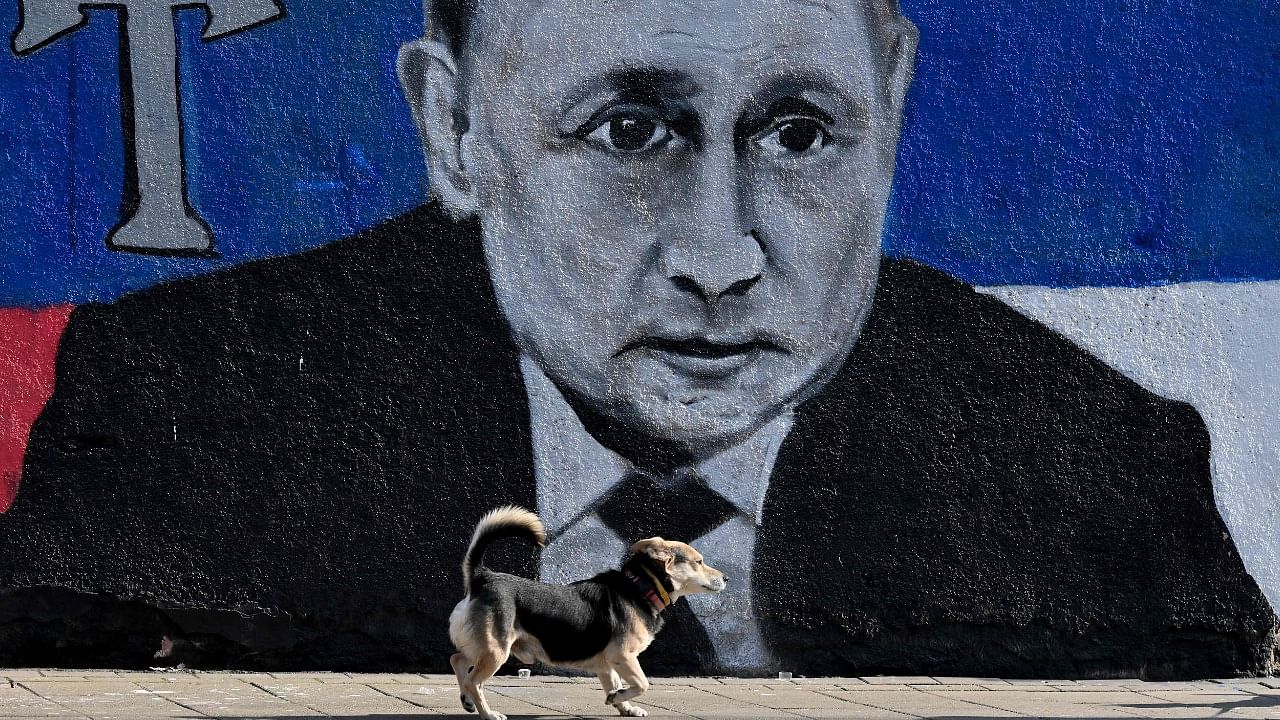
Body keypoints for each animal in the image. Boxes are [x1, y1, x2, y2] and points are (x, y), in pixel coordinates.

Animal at [450, 502, 732, 712]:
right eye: (699, 562)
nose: (727, 578)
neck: (642, 587)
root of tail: (482, 576)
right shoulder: (623, 656)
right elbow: (642, 684)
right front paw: (620, 697)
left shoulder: (606, 663)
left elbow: (613, 683)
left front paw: (624, 705)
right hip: (496, 649)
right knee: (474, 681)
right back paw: (488, 713)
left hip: (484, 646)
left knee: (458, 660)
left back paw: (467, 701)